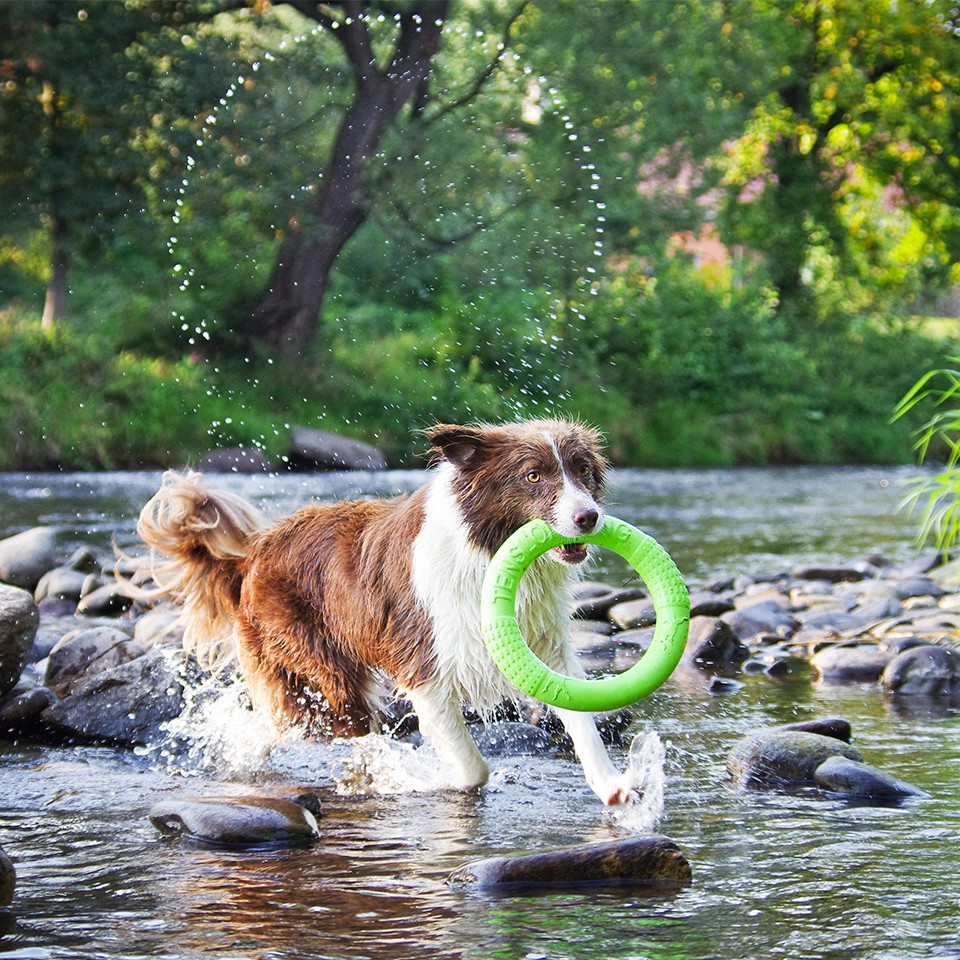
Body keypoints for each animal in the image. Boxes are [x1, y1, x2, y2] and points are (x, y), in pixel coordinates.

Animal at [137, 420, 636, 804]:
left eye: (583, 470)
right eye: (533, 476)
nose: (589, 517)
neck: (486, 550)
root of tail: (253, 553)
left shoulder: (545, 647)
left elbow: (582, 722)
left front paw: (613, 786)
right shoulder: (425, 667)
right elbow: (473, 767)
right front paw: (430, 777)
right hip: (328, 681)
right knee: (292, 723)